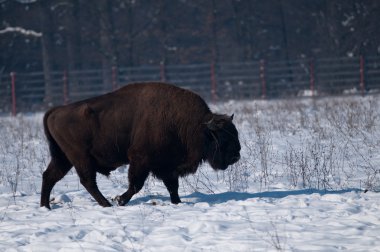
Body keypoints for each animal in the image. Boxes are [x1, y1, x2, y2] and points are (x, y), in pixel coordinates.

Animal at [40, 82, 240, 209]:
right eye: (223, 137)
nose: (236, 155)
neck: (196, 126)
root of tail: (55, 111)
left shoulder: (167, 165)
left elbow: (172, 186)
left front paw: (177, 202)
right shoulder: (141, 160)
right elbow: (136, 184)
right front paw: (120, 200)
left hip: (63, 158)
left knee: (49, 176)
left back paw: (45, 206)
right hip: (80, 157)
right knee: (87, 180)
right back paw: (107, 204)